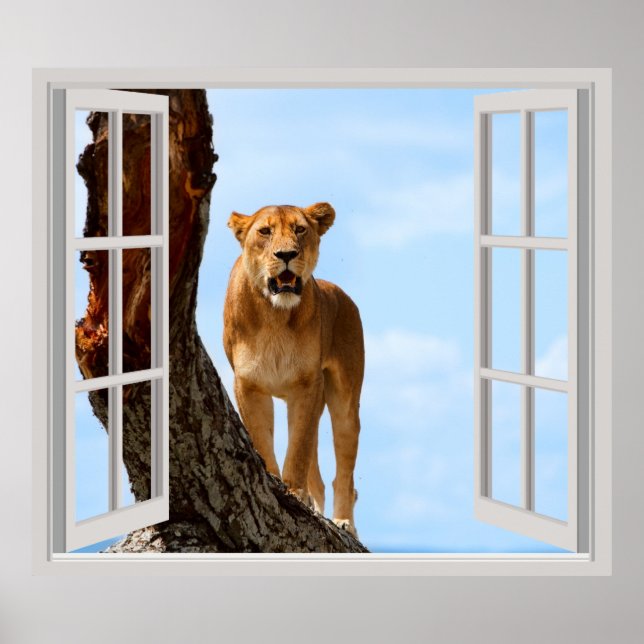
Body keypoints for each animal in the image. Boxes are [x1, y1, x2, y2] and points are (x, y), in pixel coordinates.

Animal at [223, 202, 364, 537]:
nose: (286, 254)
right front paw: (275, 482)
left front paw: (294, 493)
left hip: (344, 401)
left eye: (300, 229)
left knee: (344, 474)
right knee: (320, 479)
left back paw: (343, 522)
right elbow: (263, 440)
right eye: (265, 231)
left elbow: (298, 449)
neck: (275, 316)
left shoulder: (307, 385)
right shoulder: (248, 385)